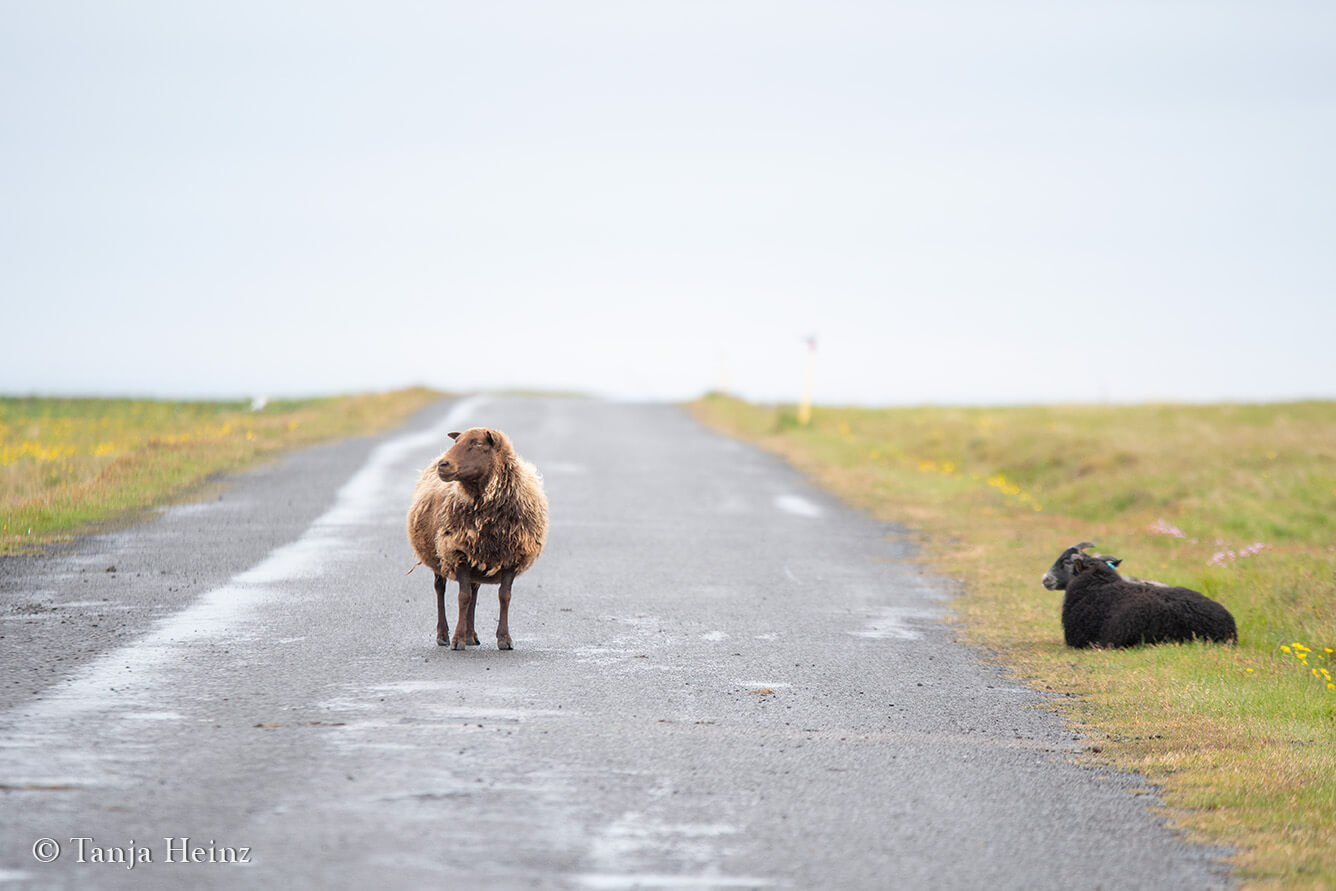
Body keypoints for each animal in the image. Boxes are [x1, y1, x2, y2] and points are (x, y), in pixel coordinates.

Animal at [408, 427, 550, 649]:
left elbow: (504, 596)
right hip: (439, 555)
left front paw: (504, 639)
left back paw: (471, 635)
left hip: (478, 559)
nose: (443, 465)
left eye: (477, 444)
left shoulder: (512, 556)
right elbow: (463, 596)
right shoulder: (457, 551)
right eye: (456, 442)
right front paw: (457, 640)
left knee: (474, 591)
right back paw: (443, 635)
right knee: (440, 589)